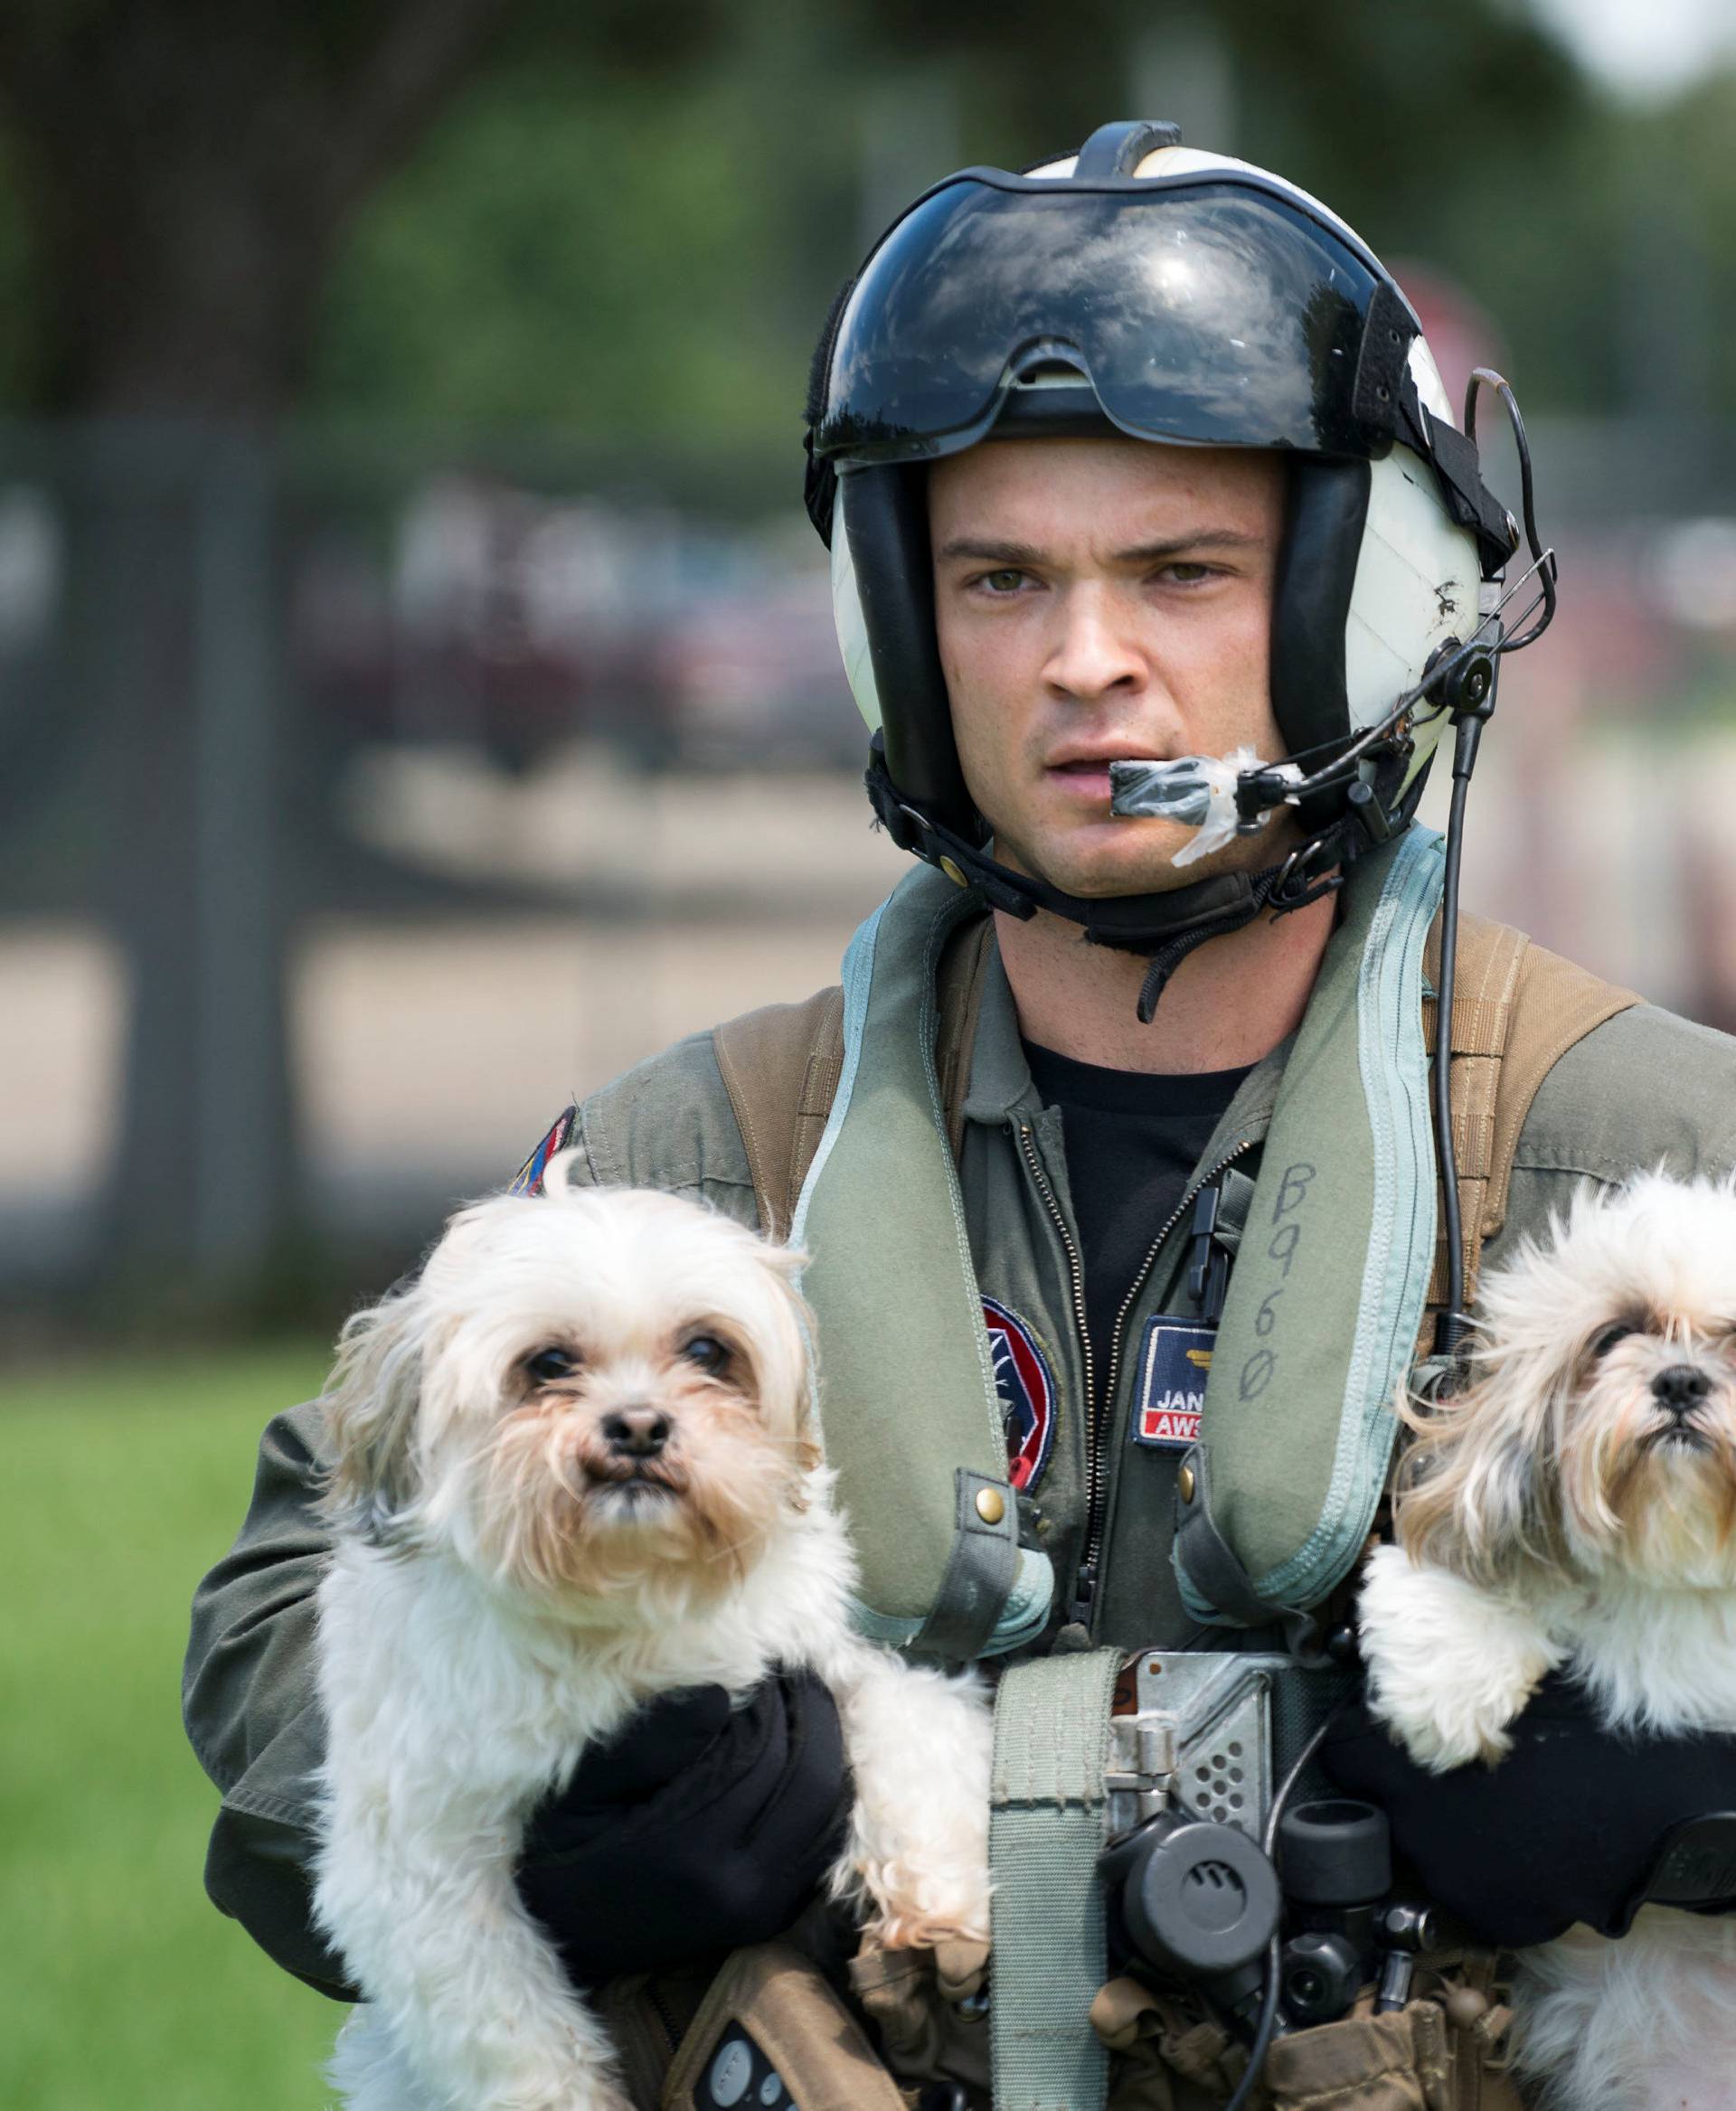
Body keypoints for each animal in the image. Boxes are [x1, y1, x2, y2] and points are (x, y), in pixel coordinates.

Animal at [310, 1173, 992, 2111]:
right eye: (548, 1364)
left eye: (707, 1349)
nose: (638, 1424)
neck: (626, 1597)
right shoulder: (422, 1862)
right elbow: (511, 2029)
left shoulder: (825, 1657)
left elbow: (912, 1727)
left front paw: (937, 1899)